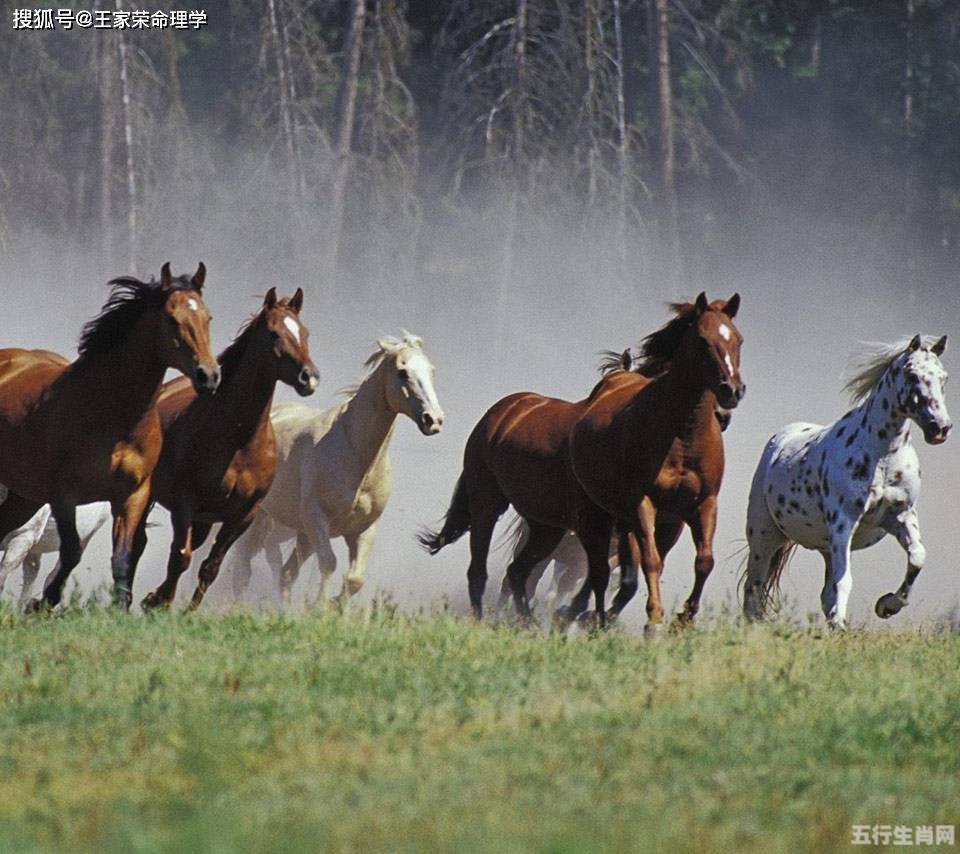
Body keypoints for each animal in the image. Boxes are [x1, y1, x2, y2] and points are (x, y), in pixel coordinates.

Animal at [0, 264, 218, 612]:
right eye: (172, 319)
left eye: (207, 318)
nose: (208, 376)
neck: (113, 415)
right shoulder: (63, 494)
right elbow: (71, 552)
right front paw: (42, 604)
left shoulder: (132, 495)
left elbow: (123, 558)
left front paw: (119, 608)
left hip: (24, 496)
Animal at [231, 334, 444, 608]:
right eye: (402, 372)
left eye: (431, 370)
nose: (434, 420)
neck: (357, 458)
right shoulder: (318, 519)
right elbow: (329, 563)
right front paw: (320, 606)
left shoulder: (363, 530)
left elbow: (355, 579)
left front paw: (333, 605)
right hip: (259, 520)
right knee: (243, 569)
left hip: (302, 533)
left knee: (286, 573)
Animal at [568, 294, 748, 636]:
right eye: (702, 340)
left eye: (739, 339)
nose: (732, 391)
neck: (682, 436)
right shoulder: (643, 503)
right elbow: (649, 561)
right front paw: (654, 620)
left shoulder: (700, 506)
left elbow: (704, 560)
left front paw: (684, 618)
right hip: (600, 514)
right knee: (600, 571)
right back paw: (590, 616)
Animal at [740, 334, 948, 628]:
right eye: (911, 374)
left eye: (943, 378)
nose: (940, 428)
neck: (882, 456)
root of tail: (780, 439)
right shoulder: (844, 521)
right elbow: (845, 580)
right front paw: (844, 622)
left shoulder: (900, 515)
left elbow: (917, 557)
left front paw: (887, 605)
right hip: (764, 535)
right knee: (754, 588)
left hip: (827, 546)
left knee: (823, 592)